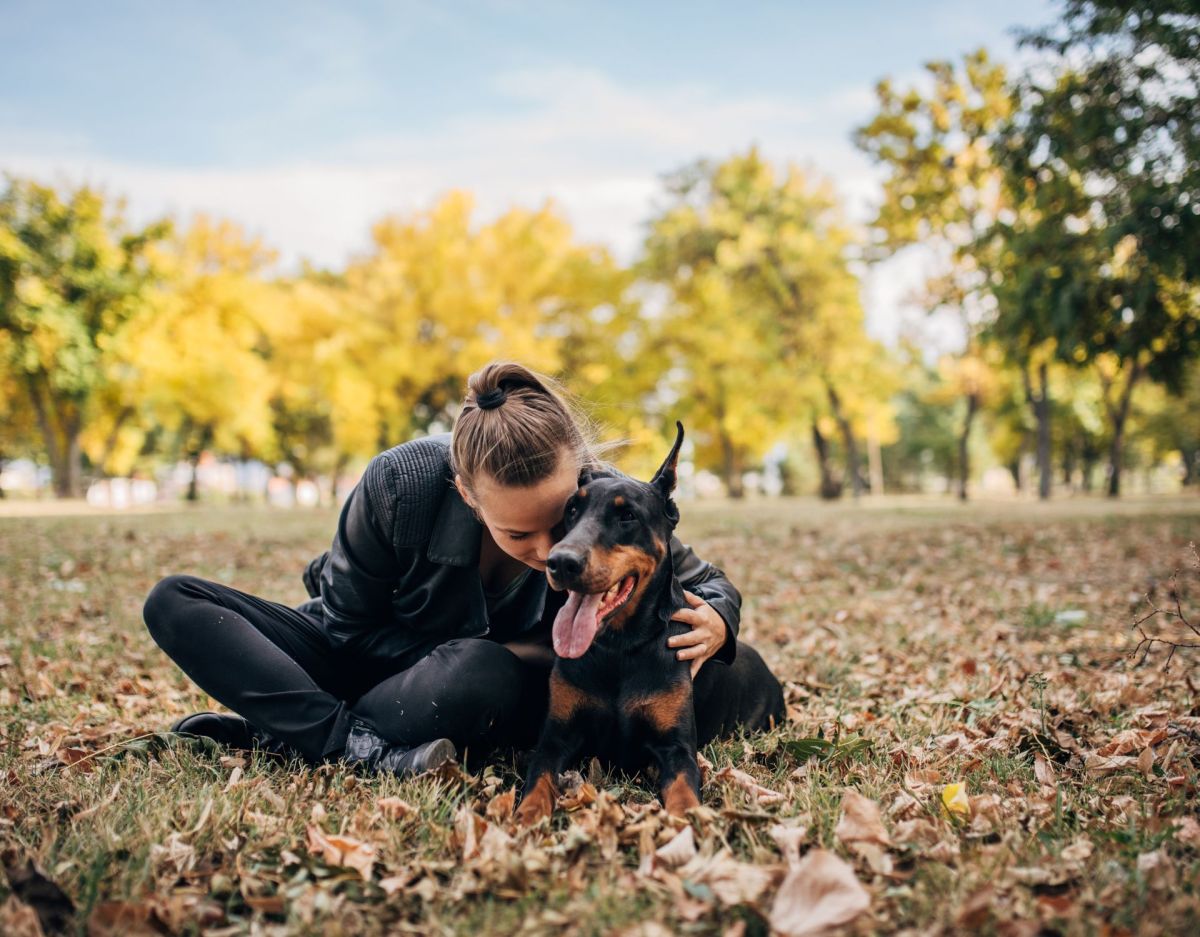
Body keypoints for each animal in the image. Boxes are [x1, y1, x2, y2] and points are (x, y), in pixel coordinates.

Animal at [516, 419, 700, 820]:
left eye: (627, 515)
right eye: (571, 510)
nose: (560, 562)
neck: (619, 648)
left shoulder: (677, 747)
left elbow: (683, 791)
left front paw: (690, 822)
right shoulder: (555, 737)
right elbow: (538, 779)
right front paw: (526, 816)